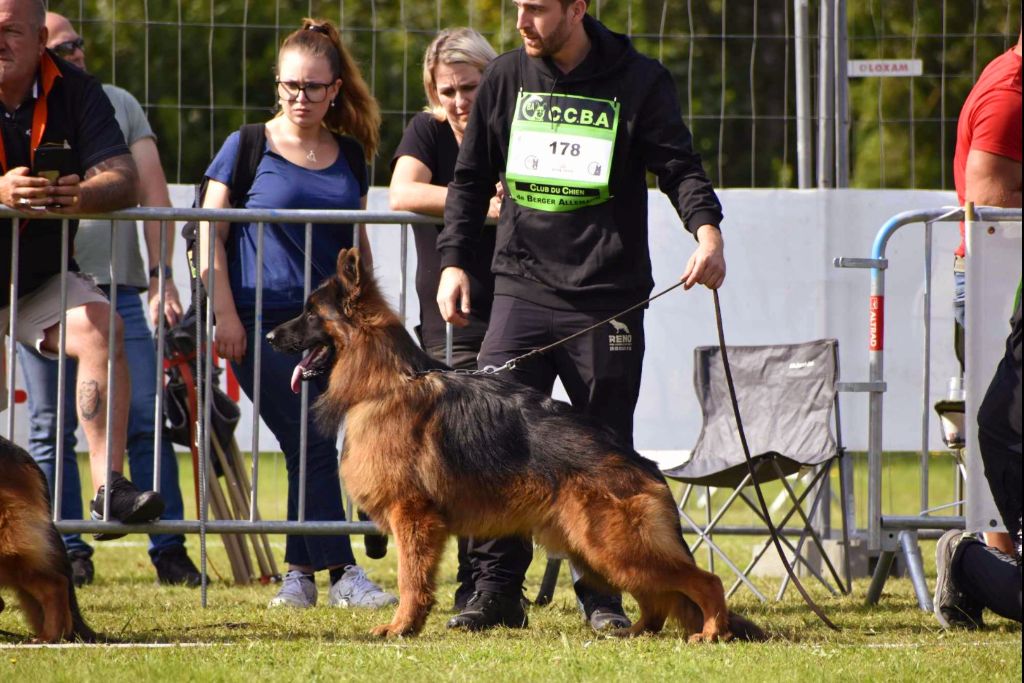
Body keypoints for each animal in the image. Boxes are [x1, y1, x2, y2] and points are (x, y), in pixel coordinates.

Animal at [268, 248, 765, 643]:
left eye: (310, 313)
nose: (270, 336)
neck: (386, 381)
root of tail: (644, 464)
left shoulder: (413, 517)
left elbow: (411, 581)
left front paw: (401, 628)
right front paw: (410, 625)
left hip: (615, 546)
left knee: (705, 582)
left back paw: (712, 632)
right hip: (598, 549)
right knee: (659, 599)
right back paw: (639, 632)